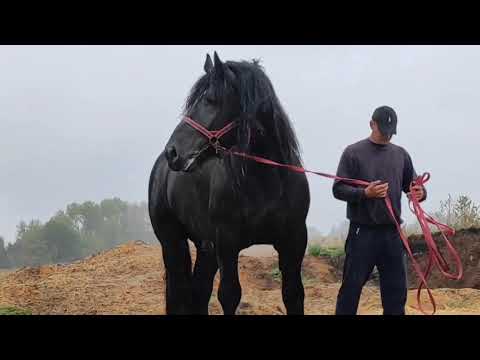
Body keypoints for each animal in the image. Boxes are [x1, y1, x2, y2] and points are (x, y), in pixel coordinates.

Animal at [148, 51, 310, 316]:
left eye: (210, 100)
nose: (172, 152)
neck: (266, 182)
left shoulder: (293, 241)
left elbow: (293, 294)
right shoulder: (227, 242)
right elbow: (229, 295)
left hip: (206, 247)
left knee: (199, 292)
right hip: (173, 242)